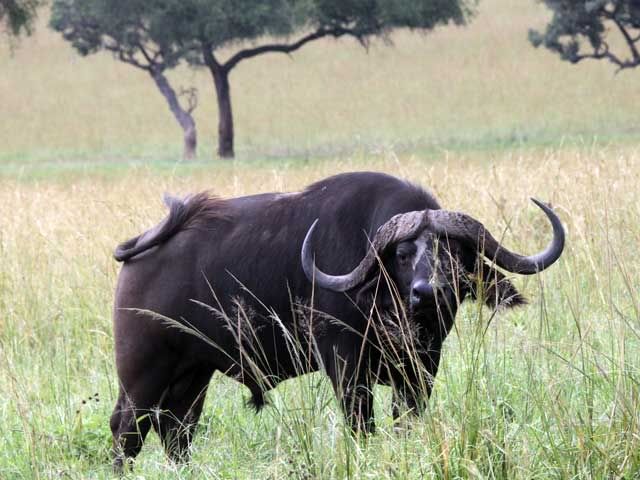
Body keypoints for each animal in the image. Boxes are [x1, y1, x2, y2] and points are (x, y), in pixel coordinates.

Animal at [109, 171, 564, 470]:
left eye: (456, 254)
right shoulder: (346, 368)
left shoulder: (422, 368)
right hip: (143, 372)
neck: (384, 302)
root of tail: (144, 247)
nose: (428, 293)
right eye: (403, 254)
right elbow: (362, 425)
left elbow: (406, 421)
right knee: (127, 431)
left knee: (176, 431)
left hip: (192, 375)